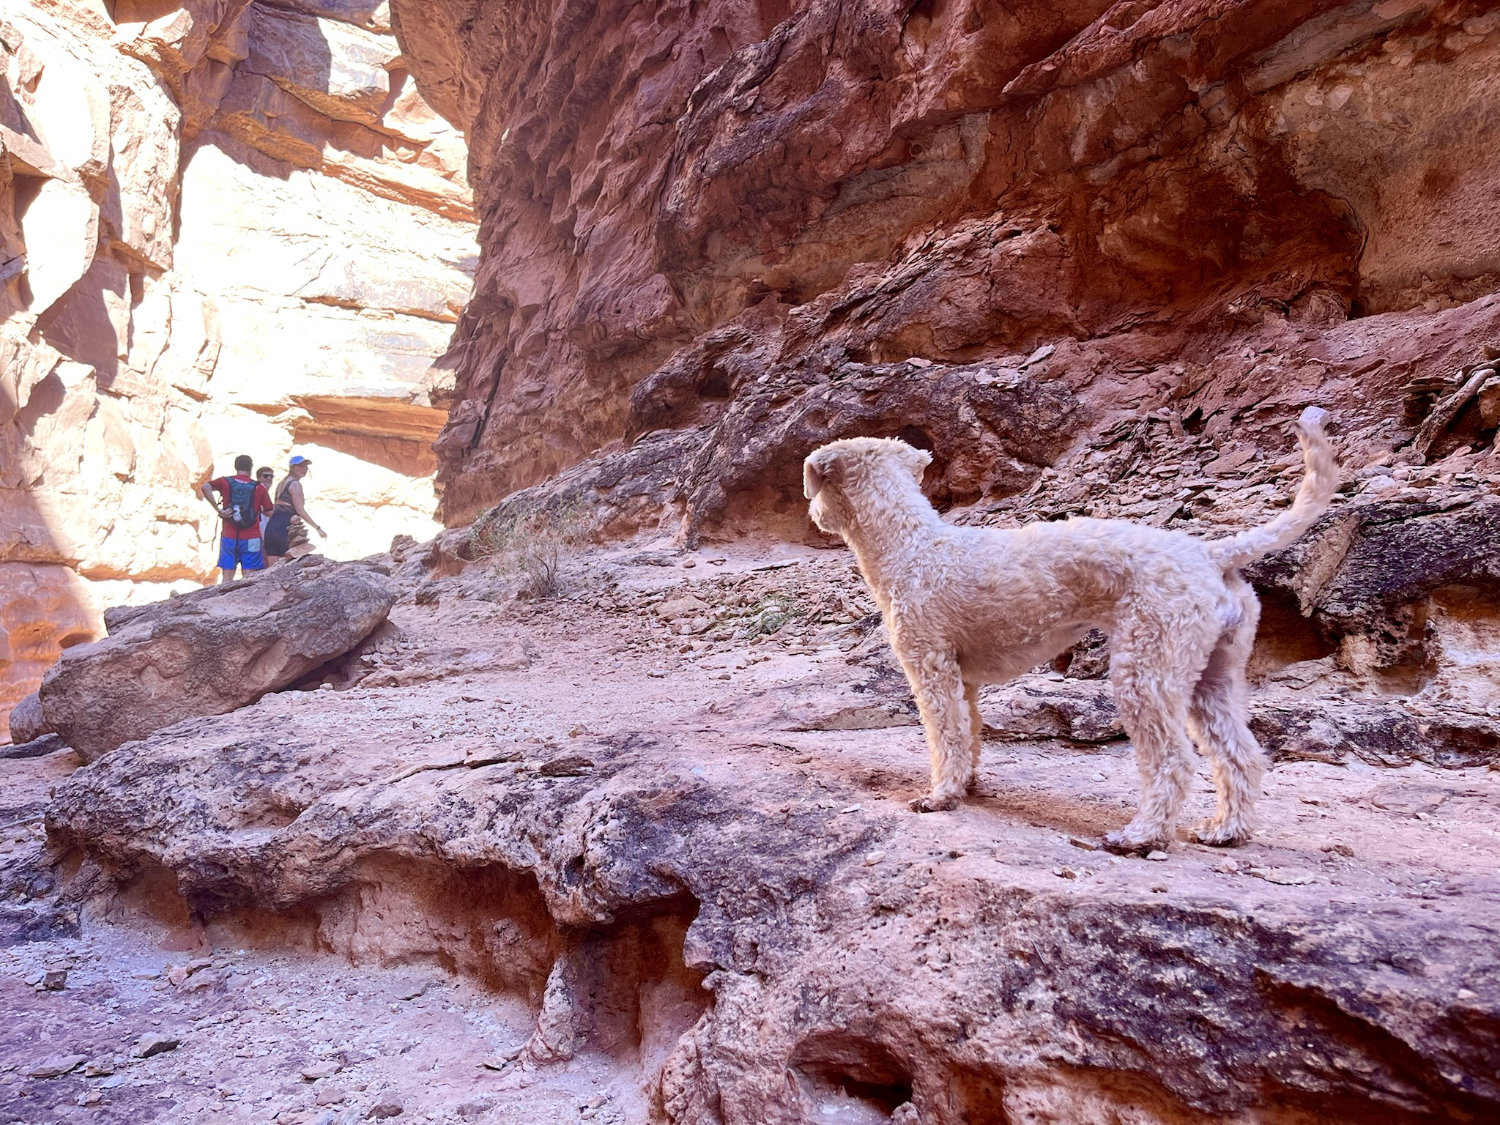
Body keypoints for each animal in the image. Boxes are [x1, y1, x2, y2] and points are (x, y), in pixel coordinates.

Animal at [804, 411, 1344, 858]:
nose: (813, 513)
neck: (910, 544)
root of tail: (1210, 553)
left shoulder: (930, 667)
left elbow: (946, 736)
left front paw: (940, 797)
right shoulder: (964, 679)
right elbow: (968, 733)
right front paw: (967, 786)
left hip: (1144, 669)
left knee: (1172, 760)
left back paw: (1141, 836)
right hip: (1212, 675)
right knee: (1241, 755)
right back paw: (1226, 830)